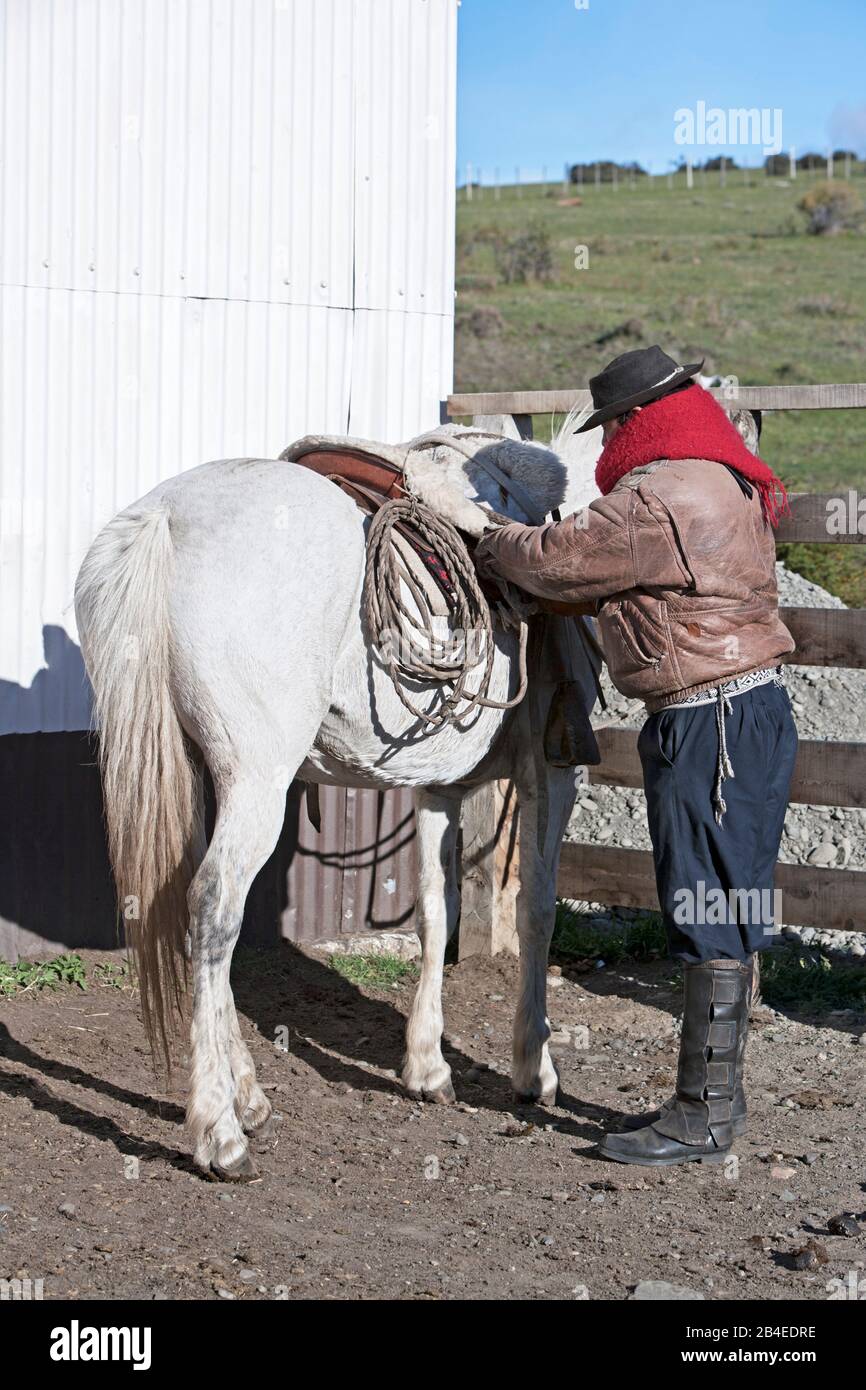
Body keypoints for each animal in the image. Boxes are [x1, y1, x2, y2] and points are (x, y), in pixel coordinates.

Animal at [74, 408, 603, 1173]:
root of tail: (165, 519)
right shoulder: (550, 777)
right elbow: (537, 912)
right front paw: (534, 1069)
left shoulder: (438, 790)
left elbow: (435, 915)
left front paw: (427, 1067)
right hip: (256, 782)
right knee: (213, 909)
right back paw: (219, 1130)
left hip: (200, 773)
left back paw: (249, 1095)